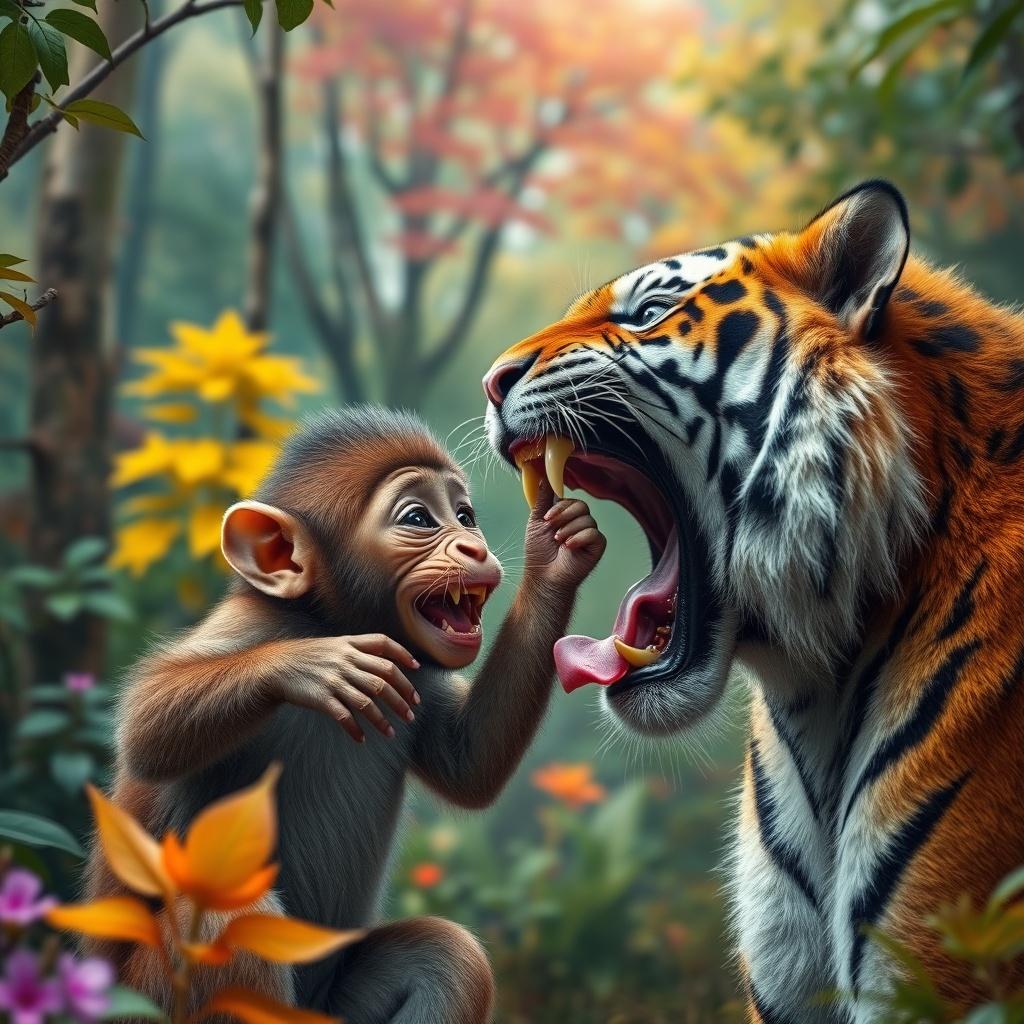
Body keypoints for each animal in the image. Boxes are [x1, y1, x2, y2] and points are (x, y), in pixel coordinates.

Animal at [86, 405, 606, 1023]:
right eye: (418, 518)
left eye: (464, 516)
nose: (473, 549)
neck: (328, 618)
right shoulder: (248, 626)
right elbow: (145, 729)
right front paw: (313, 664)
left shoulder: (417, 677)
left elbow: (468, 762)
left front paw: (556, 551)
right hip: (147, 995)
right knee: (226, 918)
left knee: (447, 954)